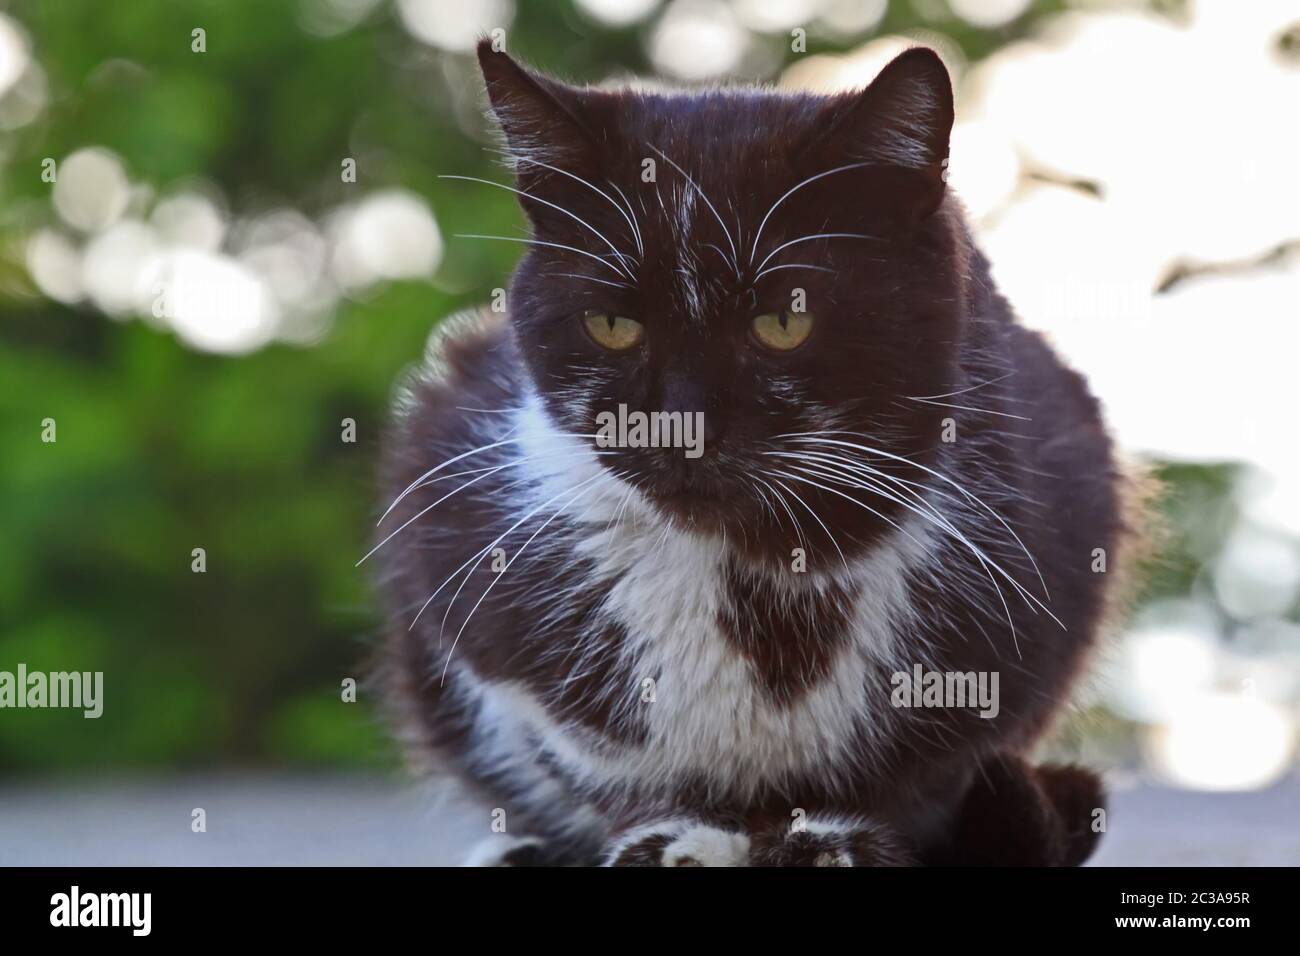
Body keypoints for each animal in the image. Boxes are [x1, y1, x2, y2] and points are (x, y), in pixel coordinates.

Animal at [371, 42, 1144, 868]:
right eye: (612, 325)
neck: (752, 571)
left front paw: (829, 838)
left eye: (782, 322)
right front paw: (672, 831)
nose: (678, 427)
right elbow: (594, 753)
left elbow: (921, 767)